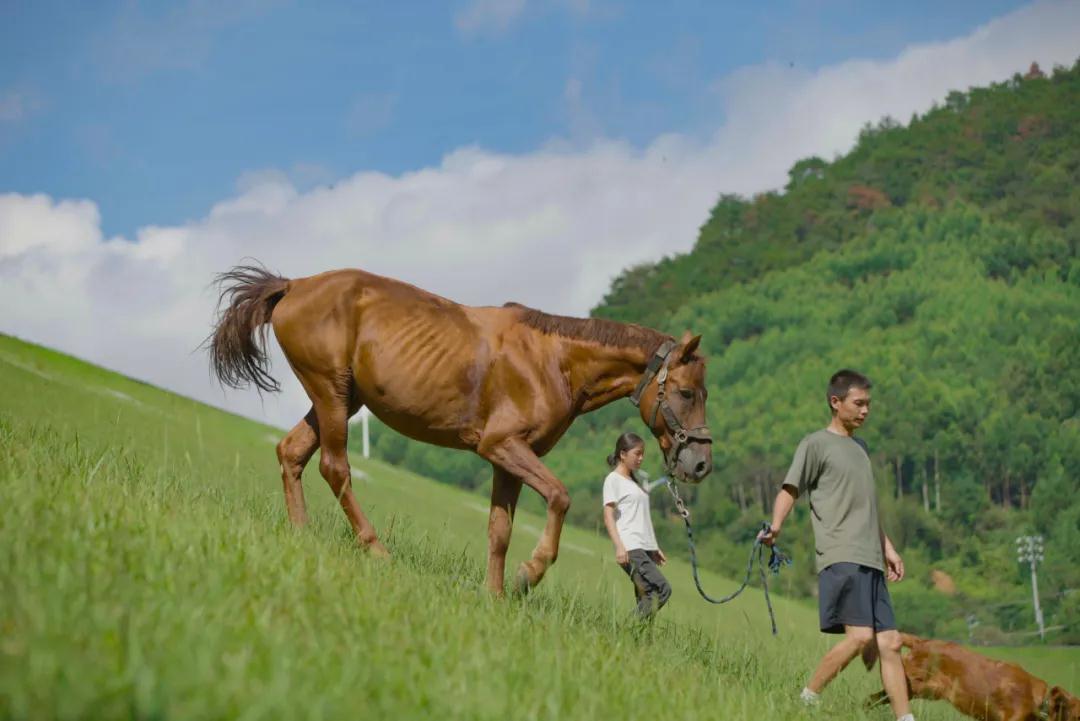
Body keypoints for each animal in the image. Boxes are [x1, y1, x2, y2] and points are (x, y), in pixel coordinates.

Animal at [208, 263, 717, 591]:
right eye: (687, 393)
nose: (700, 463)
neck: (553, 361)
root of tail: (294, 286)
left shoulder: (508, 462)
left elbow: (499, 531)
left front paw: (495, 596)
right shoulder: (501, 446)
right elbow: (559, 497)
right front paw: (528, 576)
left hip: (340, 400)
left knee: (292, 453)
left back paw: (302, 534)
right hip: (331, 395)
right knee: (335, 468)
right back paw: (375, 549)